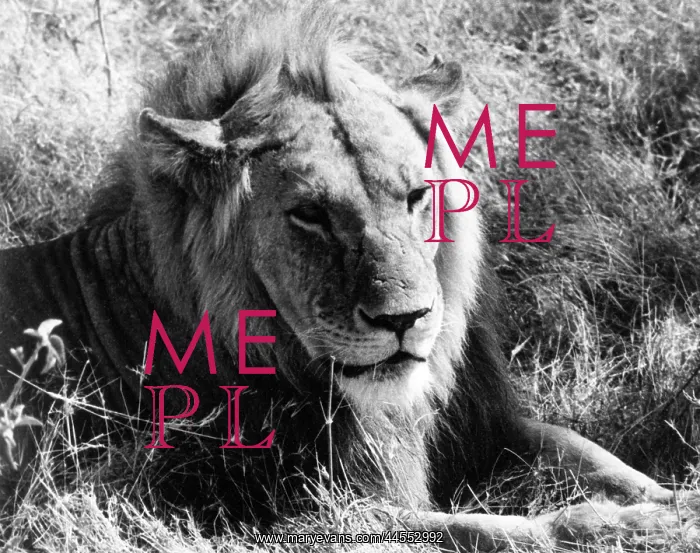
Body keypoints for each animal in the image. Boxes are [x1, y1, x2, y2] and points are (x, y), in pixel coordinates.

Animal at [0, 3, 691, 550]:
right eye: (309, 214)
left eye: (416, 196)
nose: (405, 320)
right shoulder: (299, 514)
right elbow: (500, 528)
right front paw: (642, 528)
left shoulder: (481, 424)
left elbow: (588, 451)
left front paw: (676, 499)